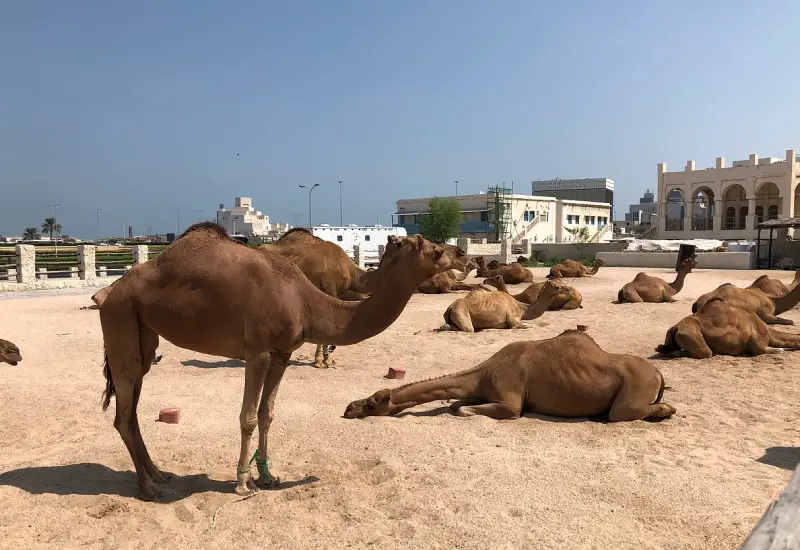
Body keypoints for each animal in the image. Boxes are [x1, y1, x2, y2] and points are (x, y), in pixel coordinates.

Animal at [97, 223, 460, 500]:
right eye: (434, 250)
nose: (463, 255)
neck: (305, 301)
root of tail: (108, 291)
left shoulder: (282, 353)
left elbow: (267, 413)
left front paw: (267, 476)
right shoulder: (256, 351)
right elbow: (247, 417)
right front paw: (242, 483)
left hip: (144, 331)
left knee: (132, 405)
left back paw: (159, 474)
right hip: (119, 317)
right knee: (123, 413)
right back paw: (147, 488)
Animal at [344, 330, 676, 424]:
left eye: (373, 403)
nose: (349, 408)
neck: (484, 372)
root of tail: (658, 372)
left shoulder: (509, 400)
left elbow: (463, 409)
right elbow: (456, 403)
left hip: (633, 389)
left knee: (621, 413)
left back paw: (665, 411)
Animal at [438, 278, 568, 334]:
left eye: (561, 284)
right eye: (556, 286)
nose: (566, 289)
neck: (522, 308)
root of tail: (450, 307)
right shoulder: (514, 321)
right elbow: (530, 326)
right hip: (461, 313)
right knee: (468, 329)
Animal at [656, 300, 800, 360]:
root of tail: (676, 327)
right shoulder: (757, 346)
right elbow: (776, 350)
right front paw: (780, 350)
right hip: (693, 335)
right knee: (706, 352)